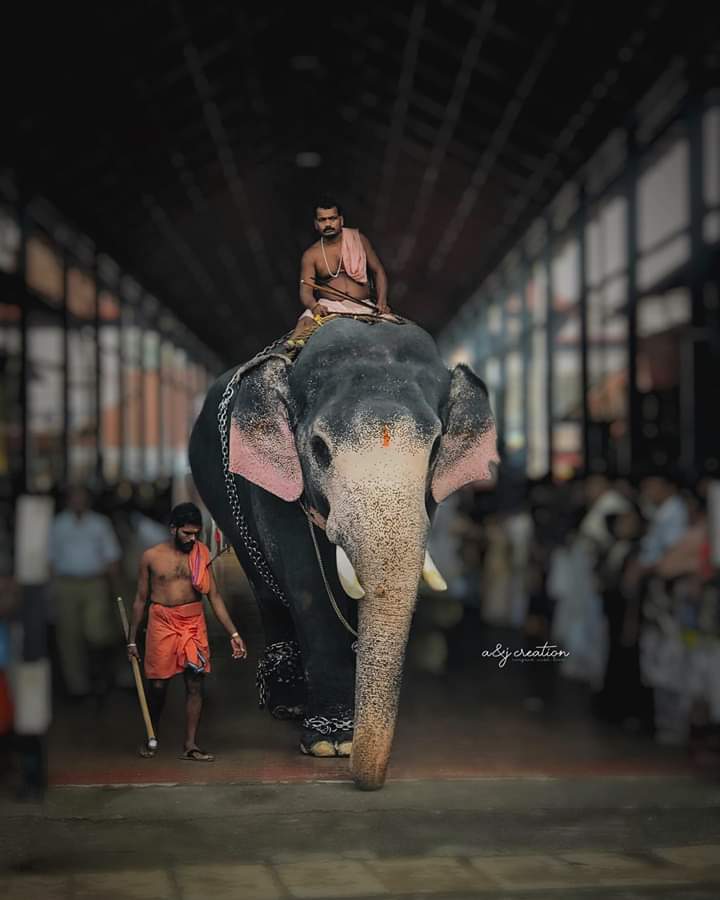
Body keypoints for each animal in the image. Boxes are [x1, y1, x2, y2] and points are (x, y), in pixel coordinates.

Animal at [188, 316, 498, 788]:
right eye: (318, 448)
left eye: (434, 450)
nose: (369, 780)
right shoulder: (276, 486)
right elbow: (308, 586)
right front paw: (332, 744)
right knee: (265, 586)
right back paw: (286, 702)